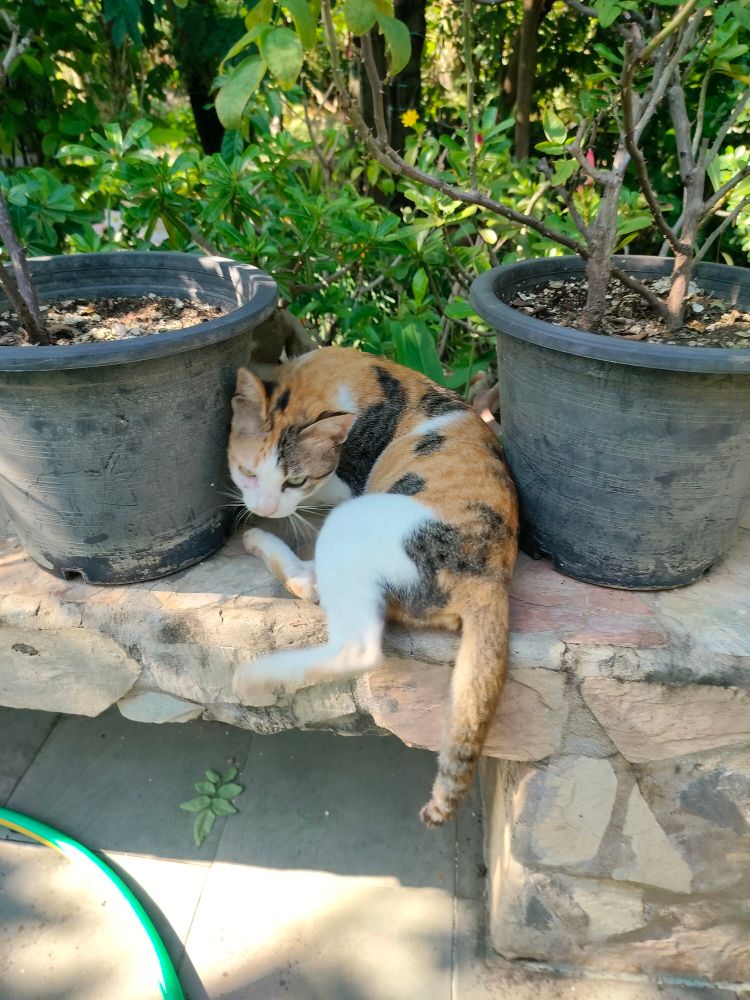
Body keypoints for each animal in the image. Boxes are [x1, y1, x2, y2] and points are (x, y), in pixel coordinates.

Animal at [229, 346, 518, 827]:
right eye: (247, 472)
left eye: (295, 480)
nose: (265, 507)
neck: (323, 377)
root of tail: (488, 575)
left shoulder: (345, 484)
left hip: (356, 522)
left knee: (350, 637)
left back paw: (253, 674)